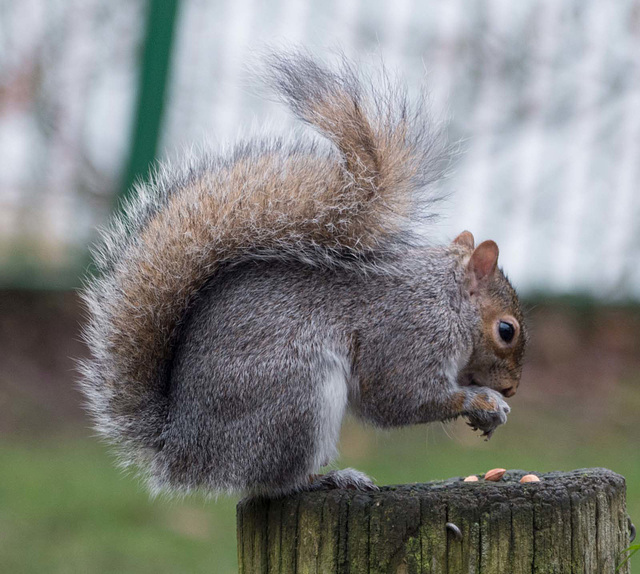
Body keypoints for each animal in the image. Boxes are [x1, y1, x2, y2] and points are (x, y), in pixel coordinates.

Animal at [80, 51, 528, 498]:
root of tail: (186, 449)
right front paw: (483, 401)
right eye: (506, 331)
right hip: (297, 397)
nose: (511, 389)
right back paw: (330, 477)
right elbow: (399, 398)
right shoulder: (410, 334)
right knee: (275, 482)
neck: (446, 299)